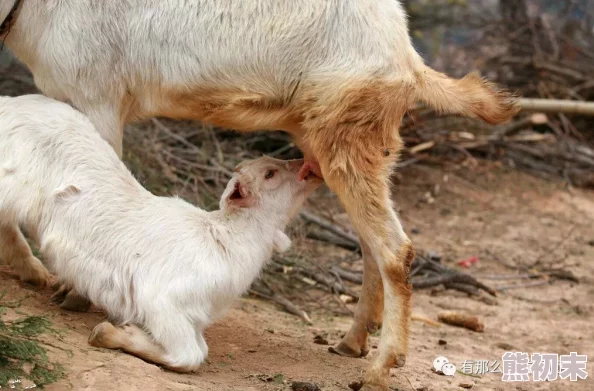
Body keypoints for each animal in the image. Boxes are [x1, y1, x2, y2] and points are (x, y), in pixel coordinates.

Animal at [0, 94, 320, 370]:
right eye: (270, 174)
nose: (307, 166)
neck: (224, 240)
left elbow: (201, 348)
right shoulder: (162, 301)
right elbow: (191, 355)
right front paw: (111, 332)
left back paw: (35, 273)